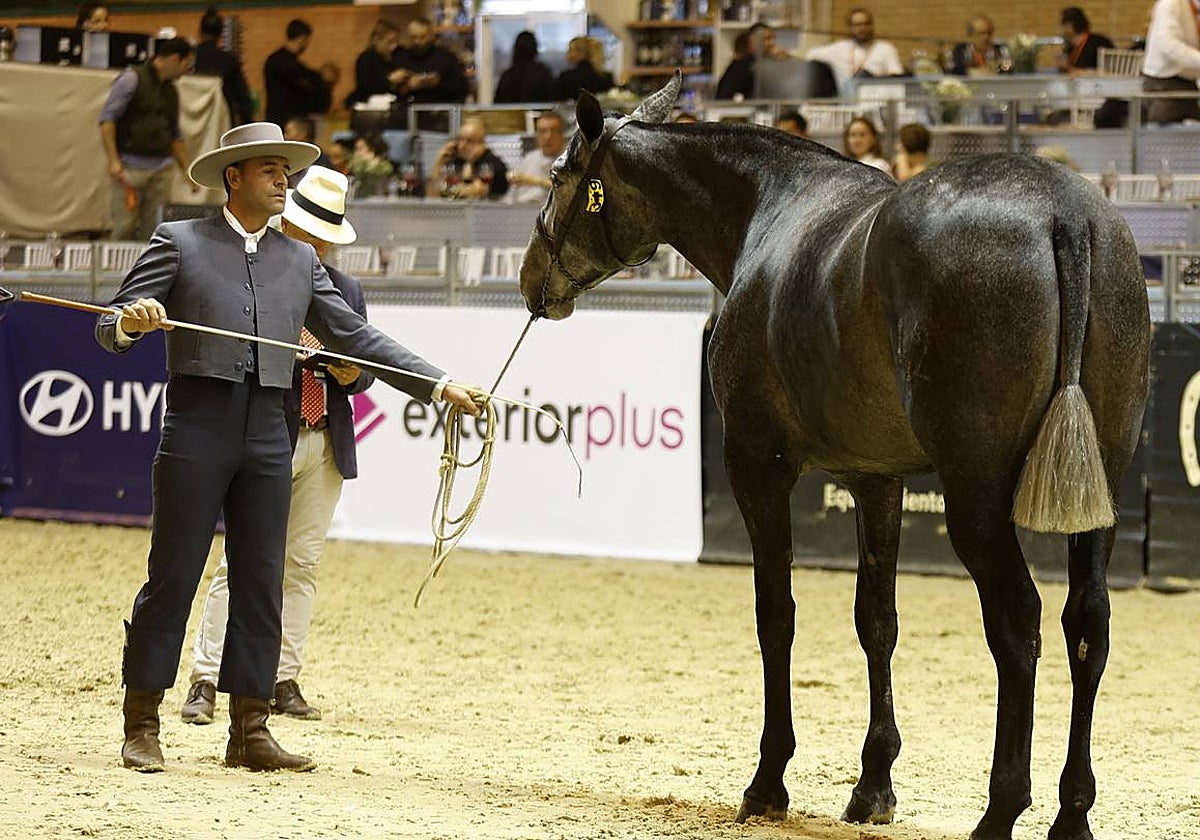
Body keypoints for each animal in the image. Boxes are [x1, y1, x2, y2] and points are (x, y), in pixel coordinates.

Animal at [517, 74, 1151, 840]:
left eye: (559, 174)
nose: (529, 279)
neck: (772, 211)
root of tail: (1065, 212)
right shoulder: (876, 480)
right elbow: (876, 619)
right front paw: (873, 786)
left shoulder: (755, 463)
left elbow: (775, 614)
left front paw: (767, 781)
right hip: (1100, 488)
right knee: (1087, 624)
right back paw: (1073, 812)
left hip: (976, 496)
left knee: (1016, 623)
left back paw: (1001, 808)